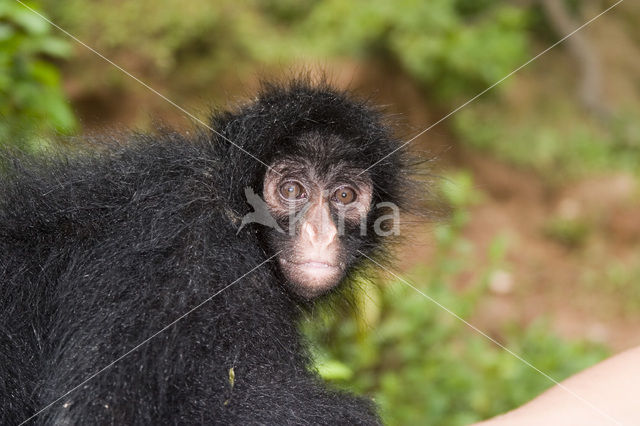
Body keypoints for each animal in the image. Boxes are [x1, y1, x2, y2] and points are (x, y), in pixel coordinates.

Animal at [0, 80, 416, 426]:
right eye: (292, 190)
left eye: (344, 195)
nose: (320, 230)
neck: (235, 215)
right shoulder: (180, 246)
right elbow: (96, 411)